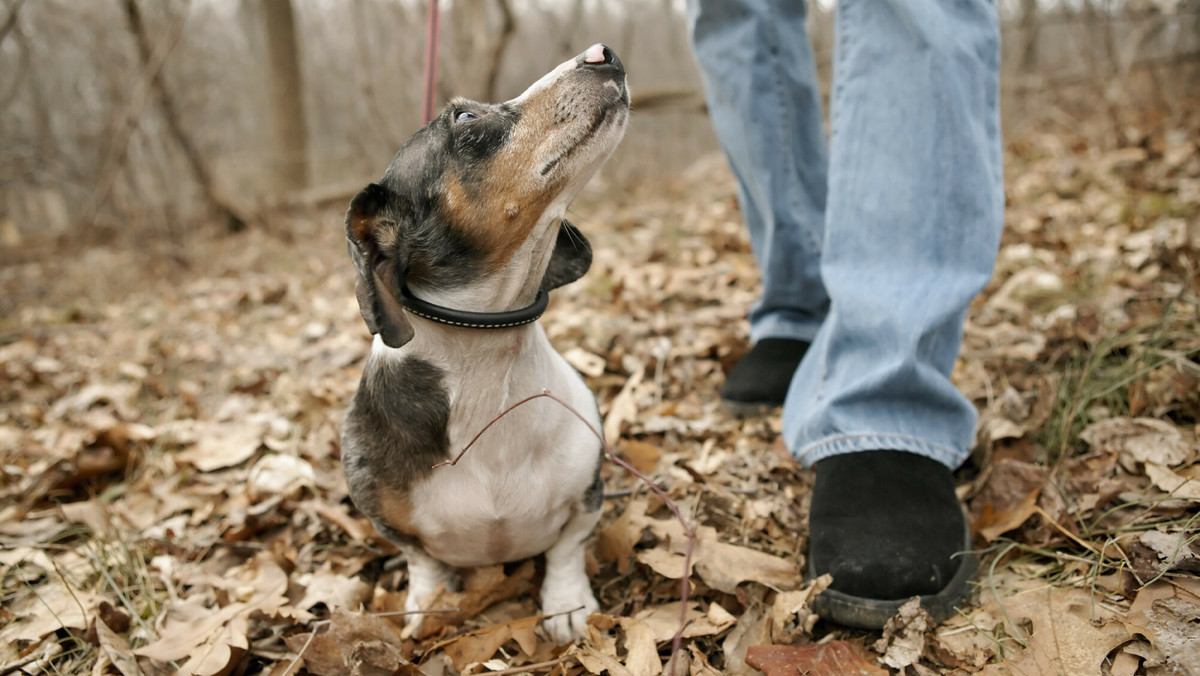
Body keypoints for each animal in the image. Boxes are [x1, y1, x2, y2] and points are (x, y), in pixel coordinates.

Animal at [338, 45, 628, 643]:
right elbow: (421, 560)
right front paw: (426, 603)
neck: (490, 367)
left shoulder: (588, 493)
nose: (603, 54)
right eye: (466, 118)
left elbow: (567, 548)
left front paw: (567, 603)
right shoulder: (384, 515)